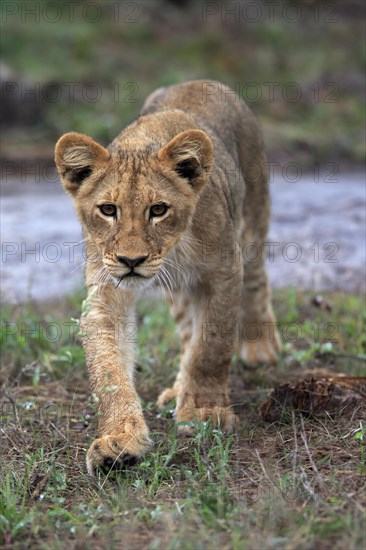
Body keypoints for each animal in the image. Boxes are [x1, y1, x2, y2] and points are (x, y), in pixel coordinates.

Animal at [54, 80, 280, 476]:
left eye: (158, 210)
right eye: (108, 210)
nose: (131, 260)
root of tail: (199, 81)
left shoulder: (224, 270)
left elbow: (211, 345)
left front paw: (205, 411)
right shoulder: (105, 291)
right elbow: (109, 374)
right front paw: (119, 441)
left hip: (253, 217)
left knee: (256, 282)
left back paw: (259, 347)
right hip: (179, 290)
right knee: (188, 329)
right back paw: (178, 391)